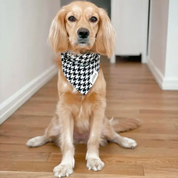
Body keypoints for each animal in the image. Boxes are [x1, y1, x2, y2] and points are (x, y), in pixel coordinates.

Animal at [26, 1, 140, 177]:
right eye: (71, 18)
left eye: (93, 19)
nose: (83, 32)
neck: (81, 62)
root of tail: (79, 139)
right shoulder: (64, 108)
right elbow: (66, 142)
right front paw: (65, 165)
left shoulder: (99, 107)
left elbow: (93, 139)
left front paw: (93, 159)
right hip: (55, 125)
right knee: (48, 135)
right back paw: (35, 140)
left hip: (105, 124)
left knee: (114, 134)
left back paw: (126, 141)